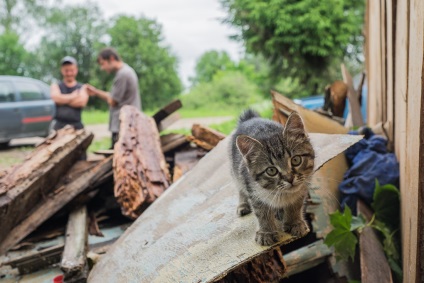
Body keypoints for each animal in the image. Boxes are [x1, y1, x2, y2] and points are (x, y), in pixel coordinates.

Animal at [229, 109, 314, 246]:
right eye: (271, 170)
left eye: (296, 160)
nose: (289, 178)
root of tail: (250, 118)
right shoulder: (253, 191)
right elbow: (261, 212)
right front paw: (266, 232)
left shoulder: (302, 187)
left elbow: (296, 205)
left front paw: (294, 222)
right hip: (236, 172)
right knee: (240, 189)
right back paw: (243, 205)